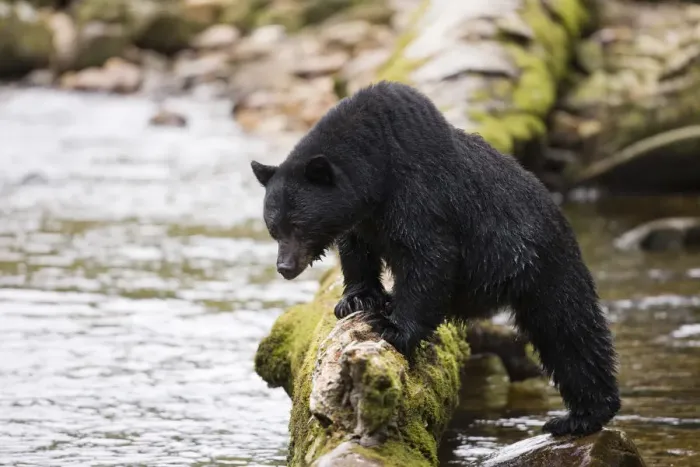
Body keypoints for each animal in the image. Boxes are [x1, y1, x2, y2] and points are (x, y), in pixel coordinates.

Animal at [250, 80, 621, 437]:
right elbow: (357, 252)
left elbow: (428, 258)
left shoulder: (420, 195)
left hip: (543, 265)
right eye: (273, 227)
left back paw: (581, 416)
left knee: (570, 331)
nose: (285, 267)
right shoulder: (363, 219)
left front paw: (392, 326)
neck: (377, 173)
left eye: (299, 225)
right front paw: (356, 300)